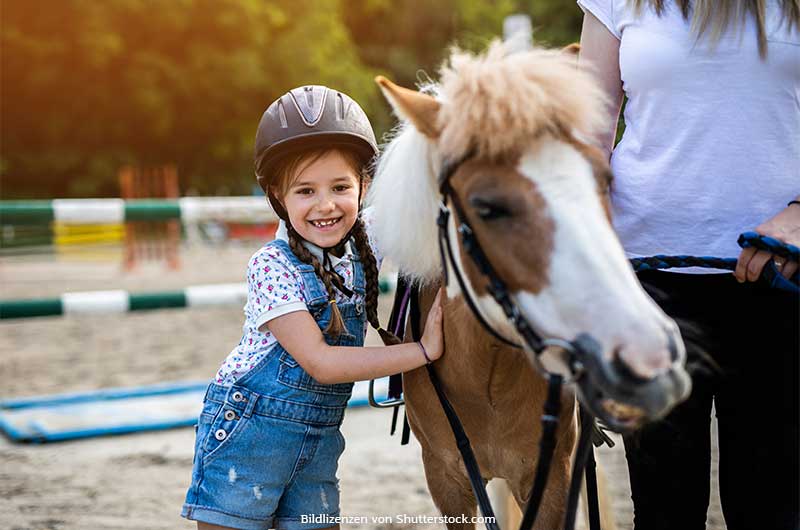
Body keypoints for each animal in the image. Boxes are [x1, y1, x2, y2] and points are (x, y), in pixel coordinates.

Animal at [366, 42, 692, 528]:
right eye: (486, 206)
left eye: (603, 180)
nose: (651, 357)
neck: (486, 368)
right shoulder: (447, 480)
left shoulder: (553, 476)